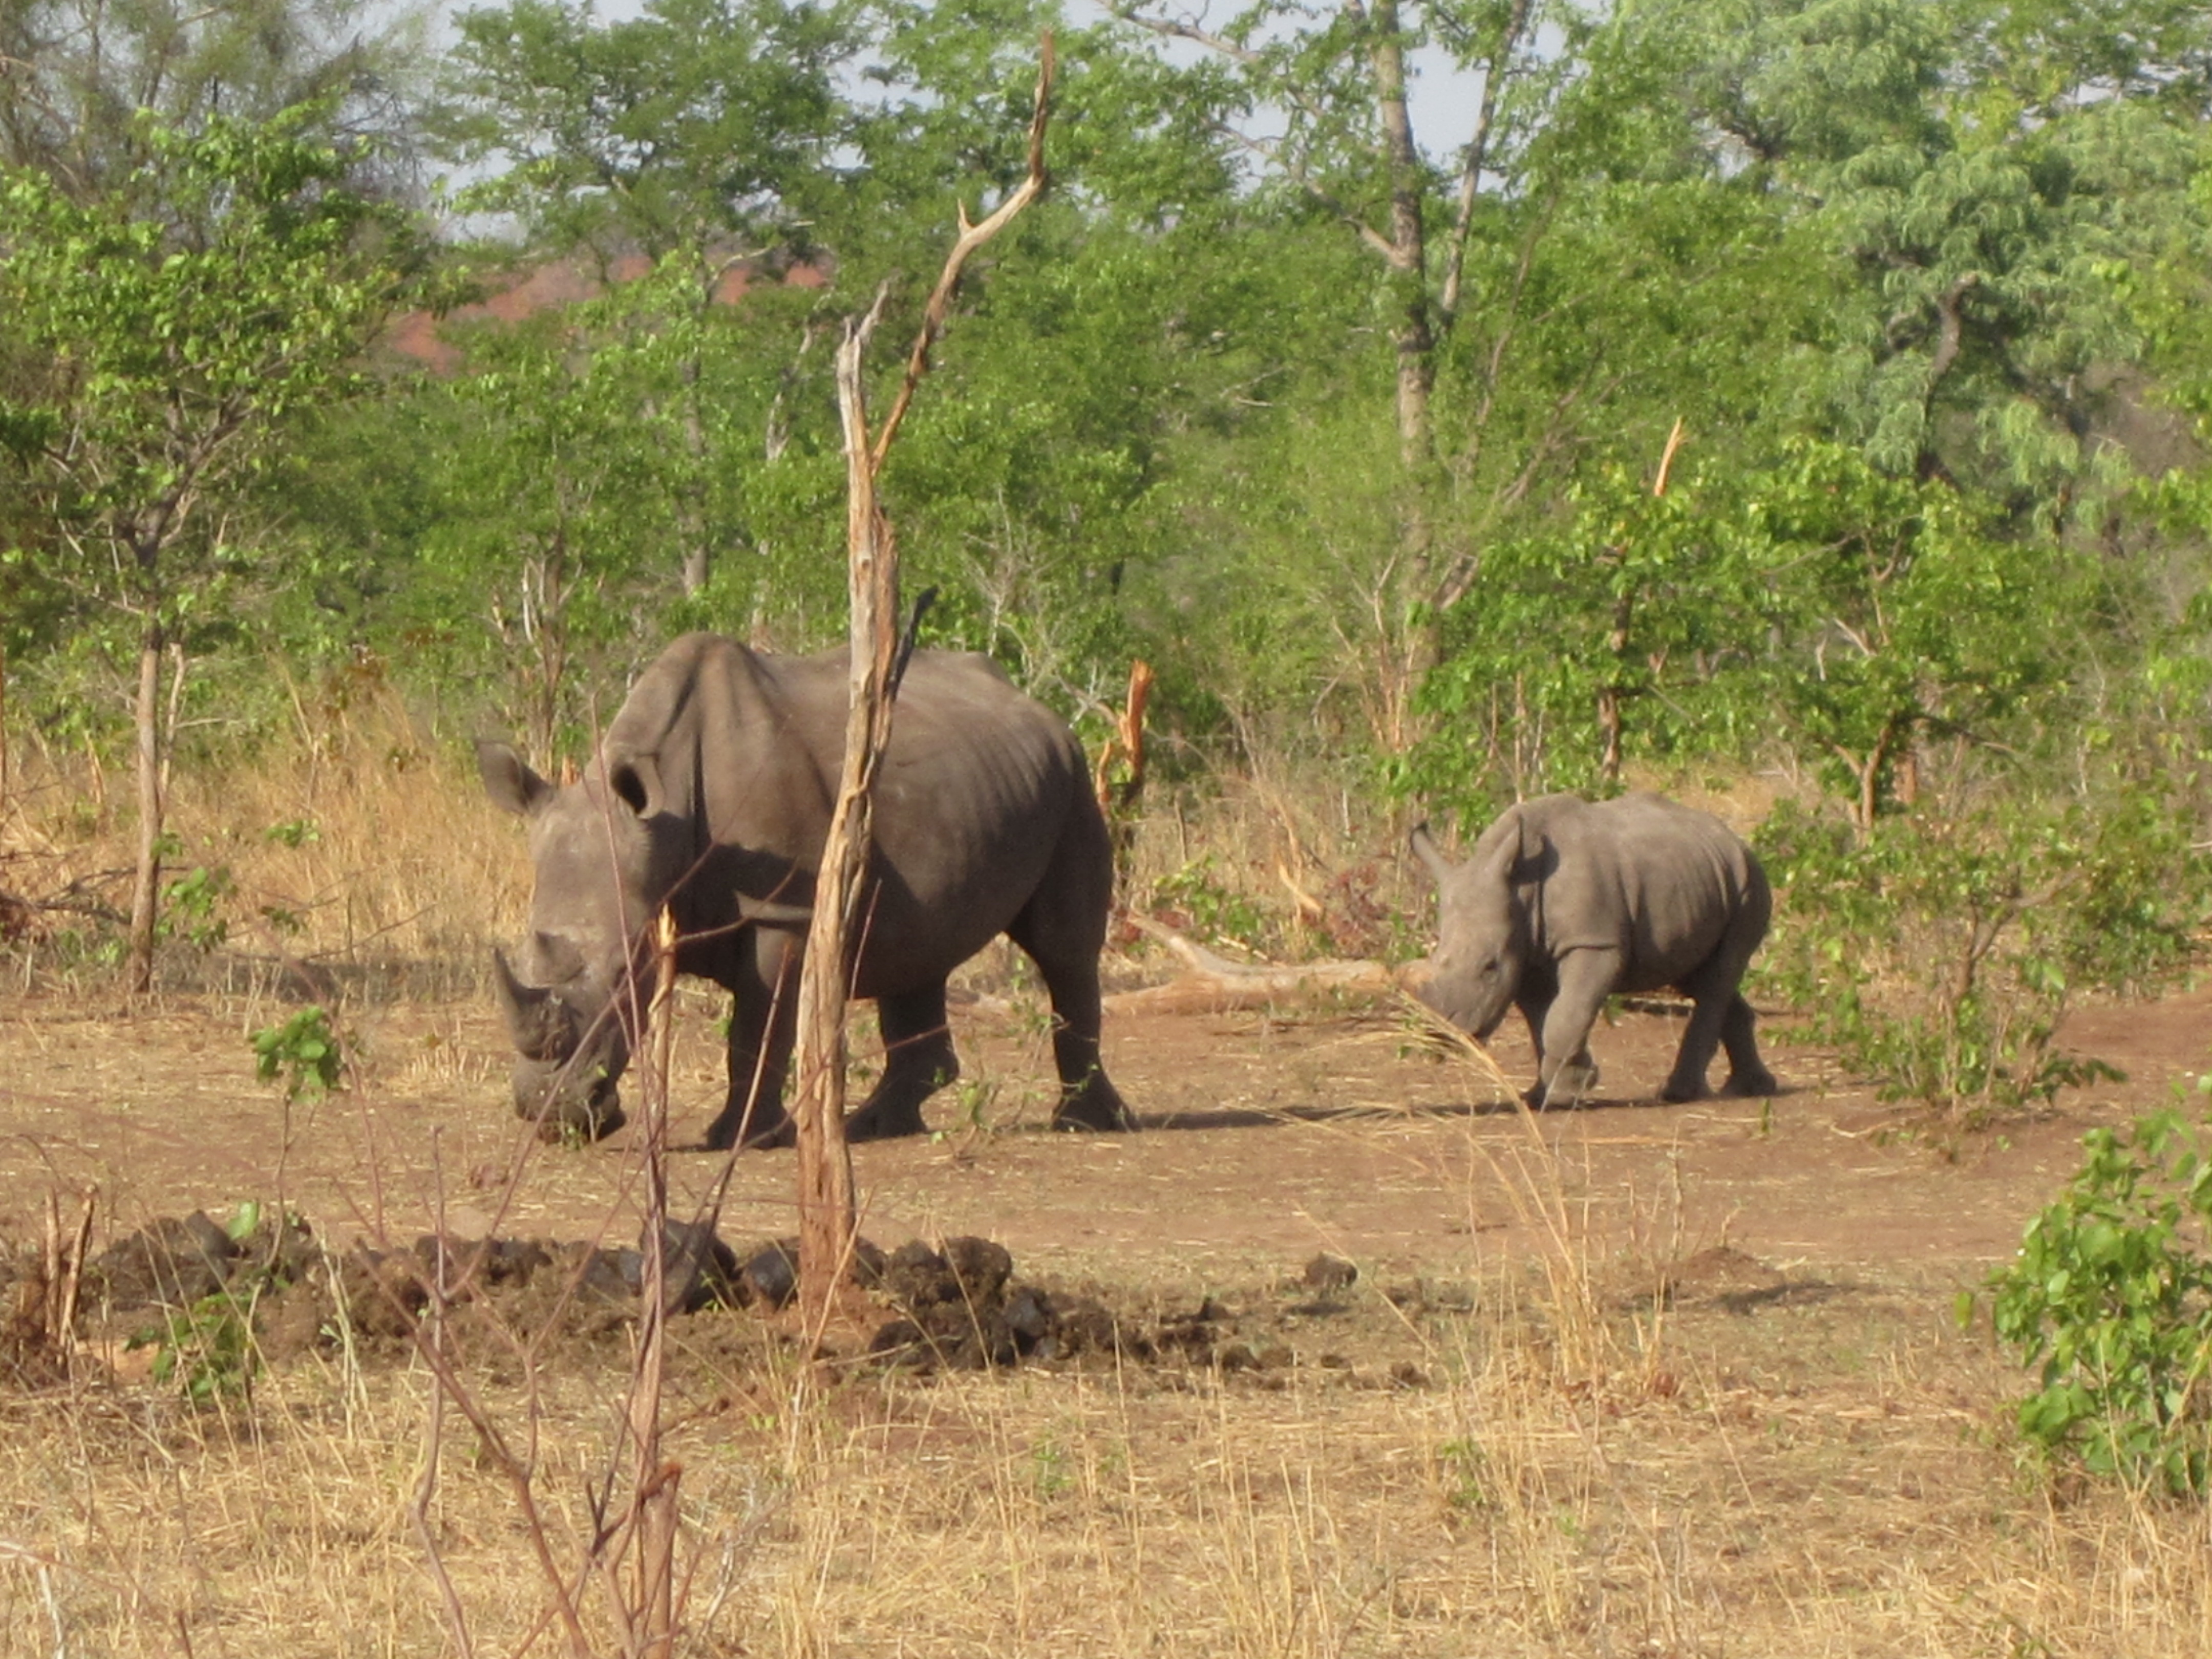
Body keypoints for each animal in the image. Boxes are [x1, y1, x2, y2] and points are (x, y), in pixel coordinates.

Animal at [477, 631, 1132, 1150]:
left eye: (626, 974)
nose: (550, 1114)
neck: (663, 814)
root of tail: (1036, 706)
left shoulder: (782, 912)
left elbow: (755, 1031)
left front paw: (742, 1139)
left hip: (1073, 774)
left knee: (1062, 949)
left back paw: (1086, 1124)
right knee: (916, 948)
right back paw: (878, 1126)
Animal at [1405, 791, 1777, 1109]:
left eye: (1490, 968)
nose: (1443, 1036)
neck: (1520, 887)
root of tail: (1734, 838)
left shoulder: (1594, 942)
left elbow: (1567, 1013)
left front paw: (1570, 1089)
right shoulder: (1526, 948)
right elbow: (1544, 1018)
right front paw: (1549, 1094)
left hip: (1749, 883)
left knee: (1718, 976)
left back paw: (1680, 1094)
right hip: (1700, 880)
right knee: (1697, 975)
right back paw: (1752, 1089)